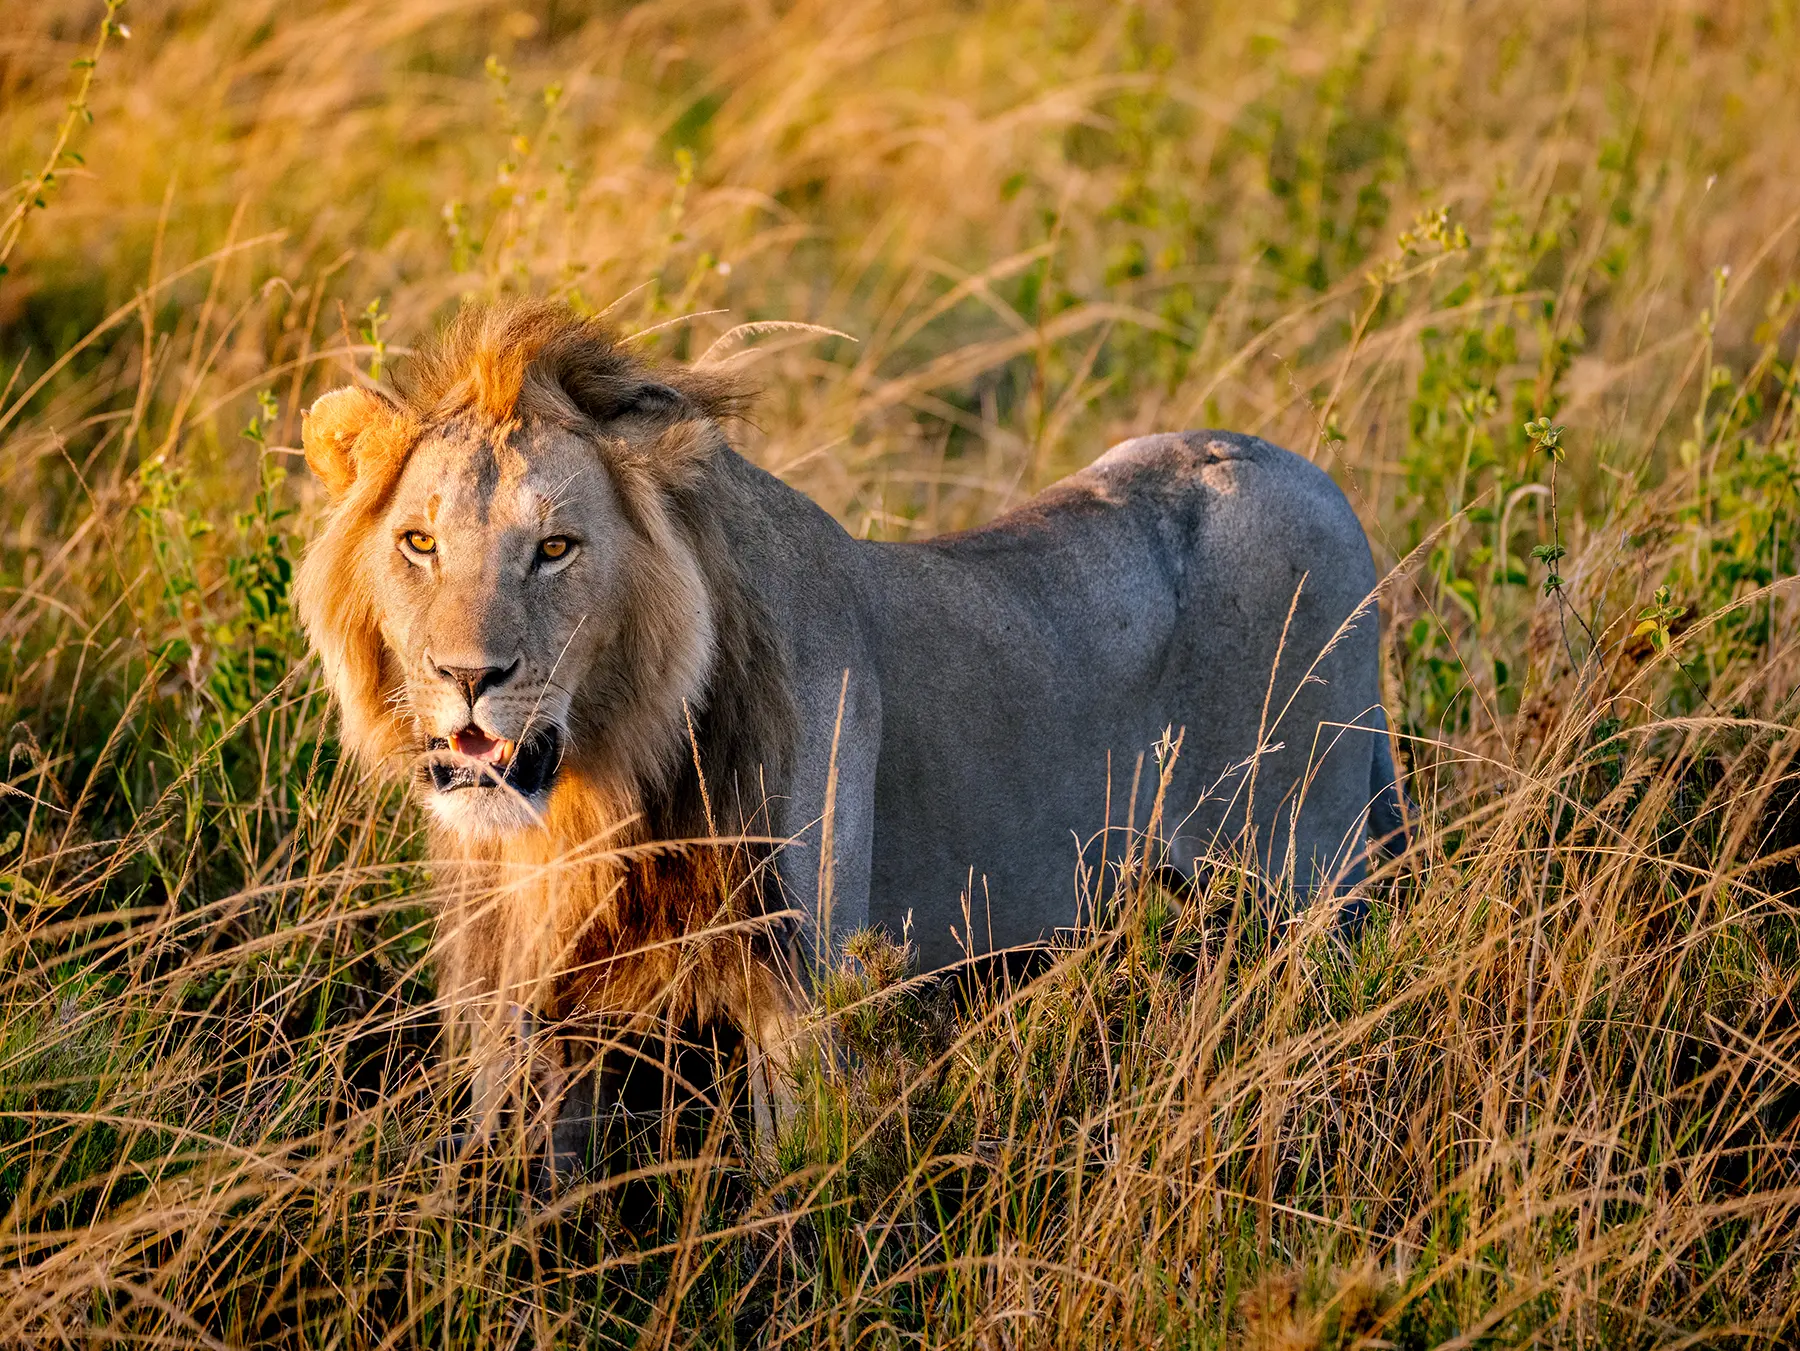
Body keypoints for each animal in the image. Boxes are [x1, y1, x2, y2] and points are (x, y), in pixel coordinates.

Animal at [294, 298, 1405, 1171]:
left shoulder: (803, 1003)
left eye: (556, 548)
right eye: (420, 542)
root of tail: (1304, 473)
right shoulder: (522, 1015)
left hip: (1309, 881)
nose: (467, 678)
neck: (594, 797)